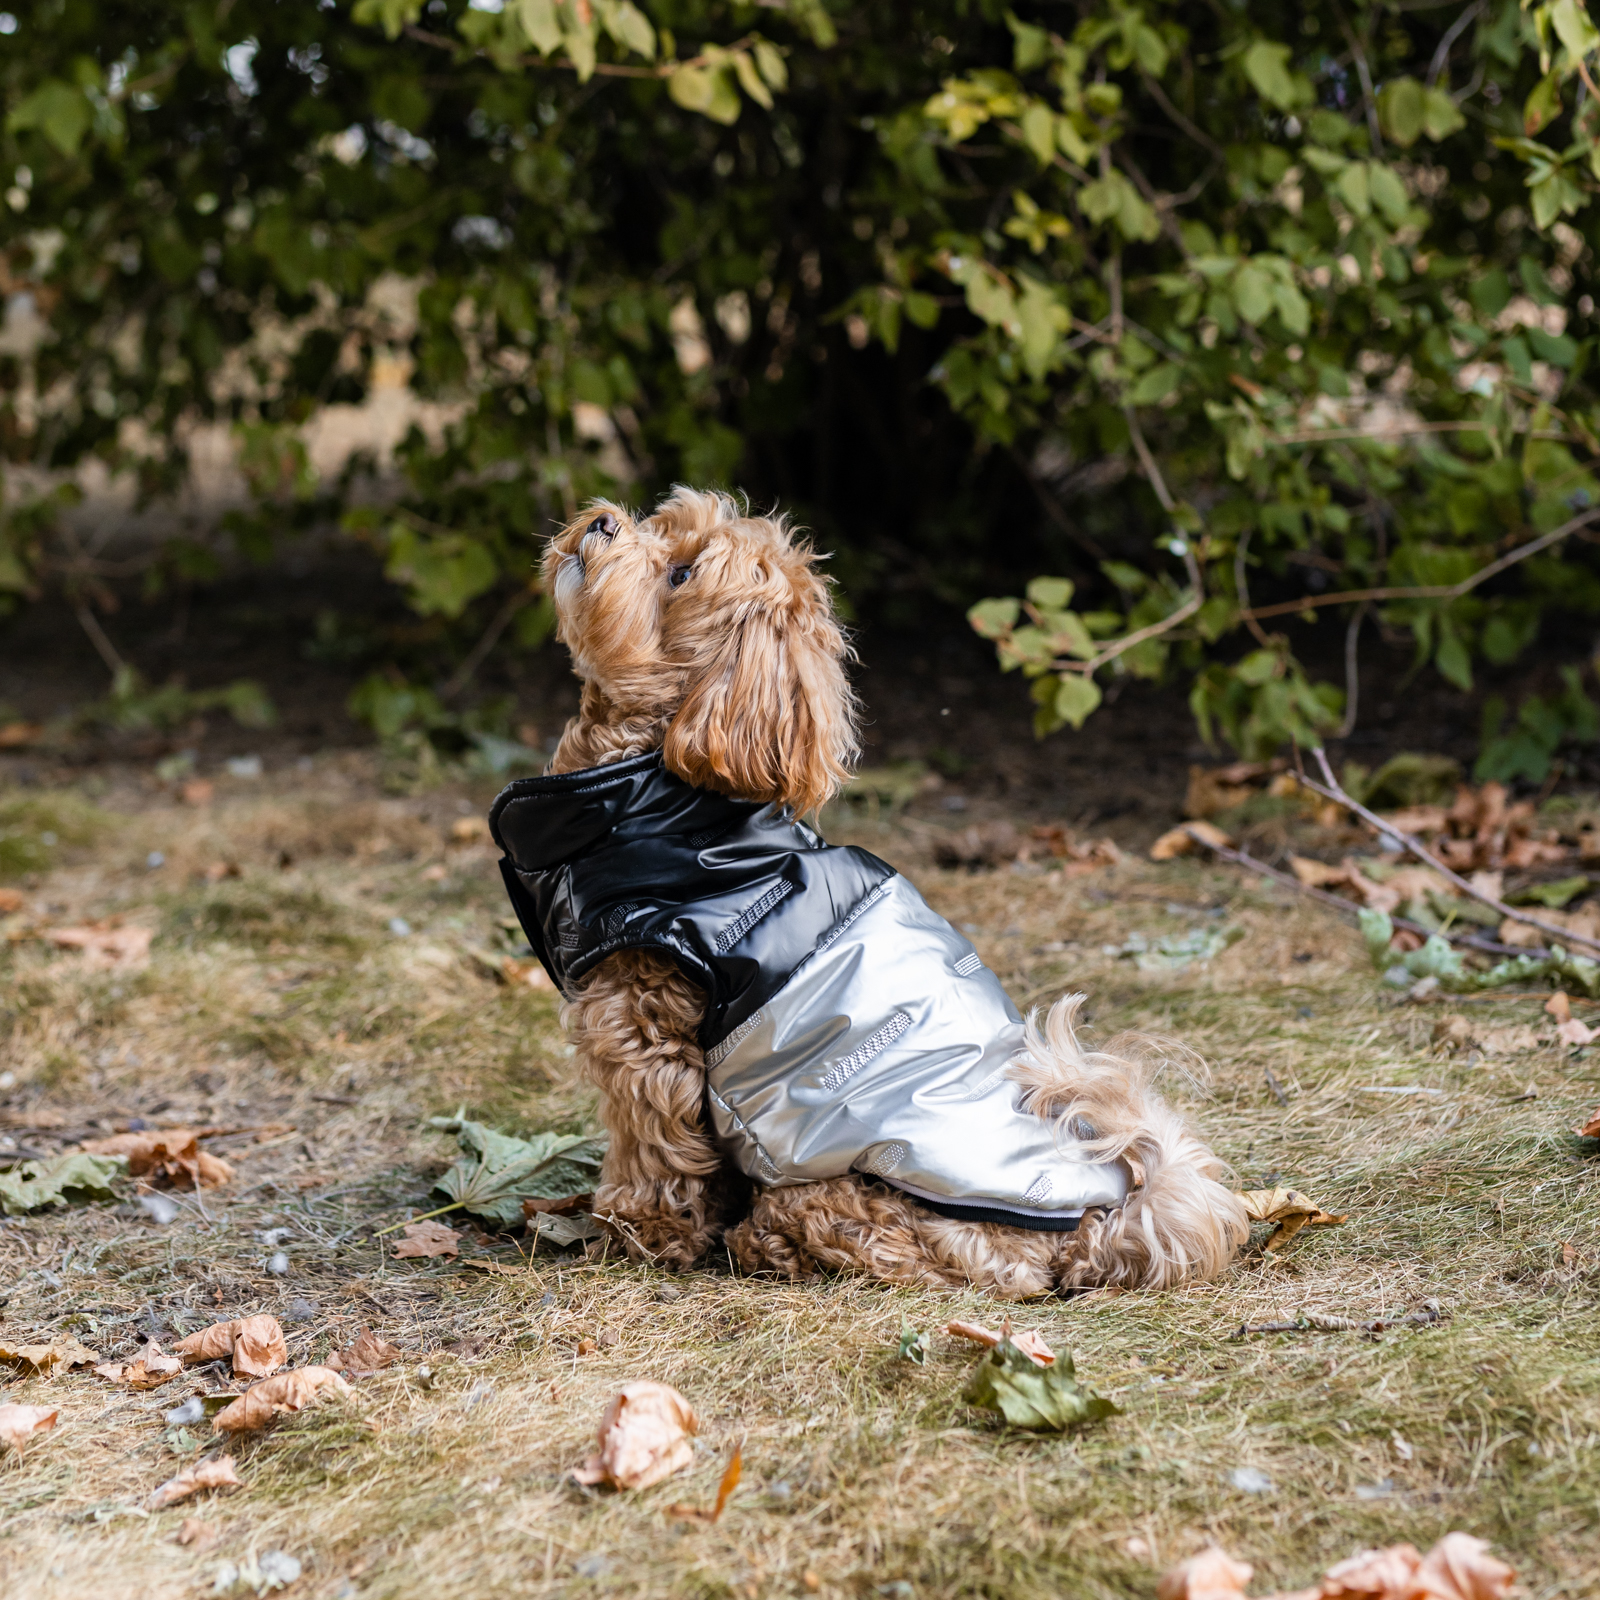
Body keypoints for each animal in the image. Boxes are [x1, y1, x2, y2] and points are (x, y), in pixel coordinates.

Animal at [486, 489, 1248, 1299]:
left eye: (682, 573)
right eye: (661, 525)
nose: (601, 520)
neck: (670, 803)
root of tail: (1102, 1224)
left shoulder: (645, 1028)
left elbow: (653, 1151)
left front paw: (637, 1234)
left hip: (871, 1194)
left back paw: (768, 1242)